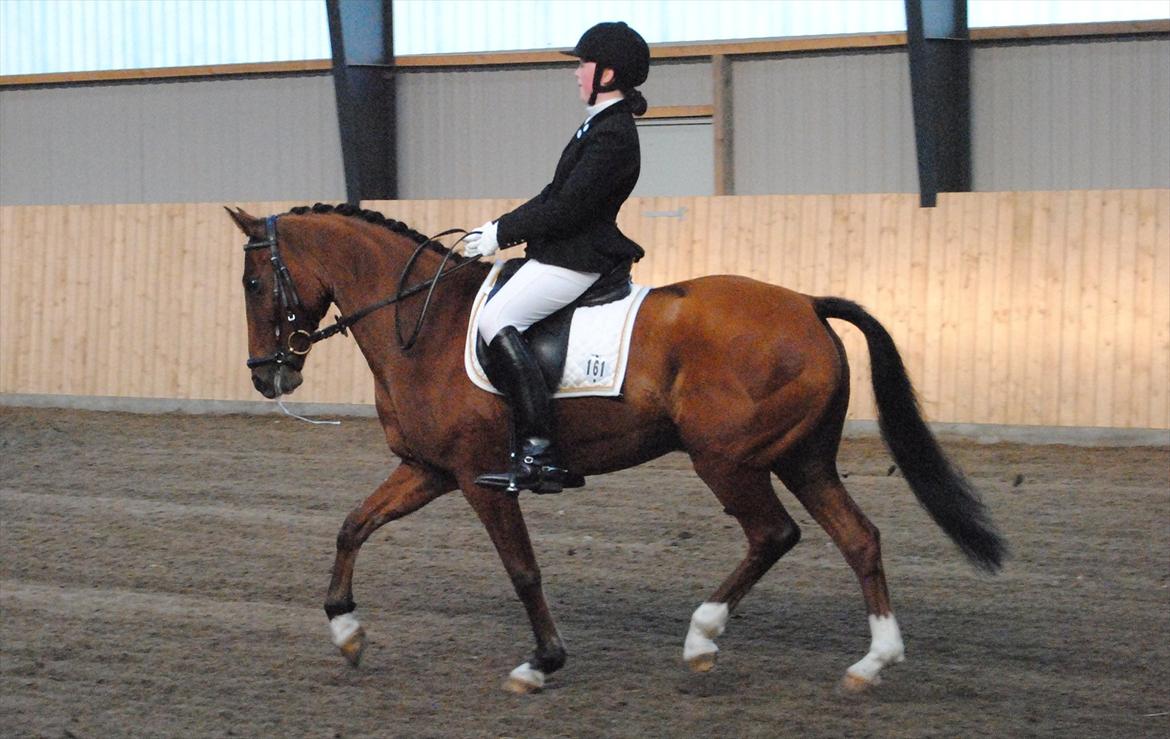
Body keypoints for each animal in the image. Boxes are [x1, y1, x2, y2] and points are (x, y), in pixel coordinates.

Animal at [225, 201, 1006, 692]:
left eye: (255, 280)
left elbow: (523, 570)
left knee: (772, 534)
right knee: (859, 537)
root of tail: (809, 305)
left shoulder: (480, 477)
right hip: (803, 458)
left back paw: (702, 637)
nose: (269, 375)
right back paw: (872, 663)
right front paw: (346, 631)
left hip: (727, 459)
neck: (424, 320)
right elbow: (353, 524)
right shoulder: (428, 468)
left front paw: (541, 663)